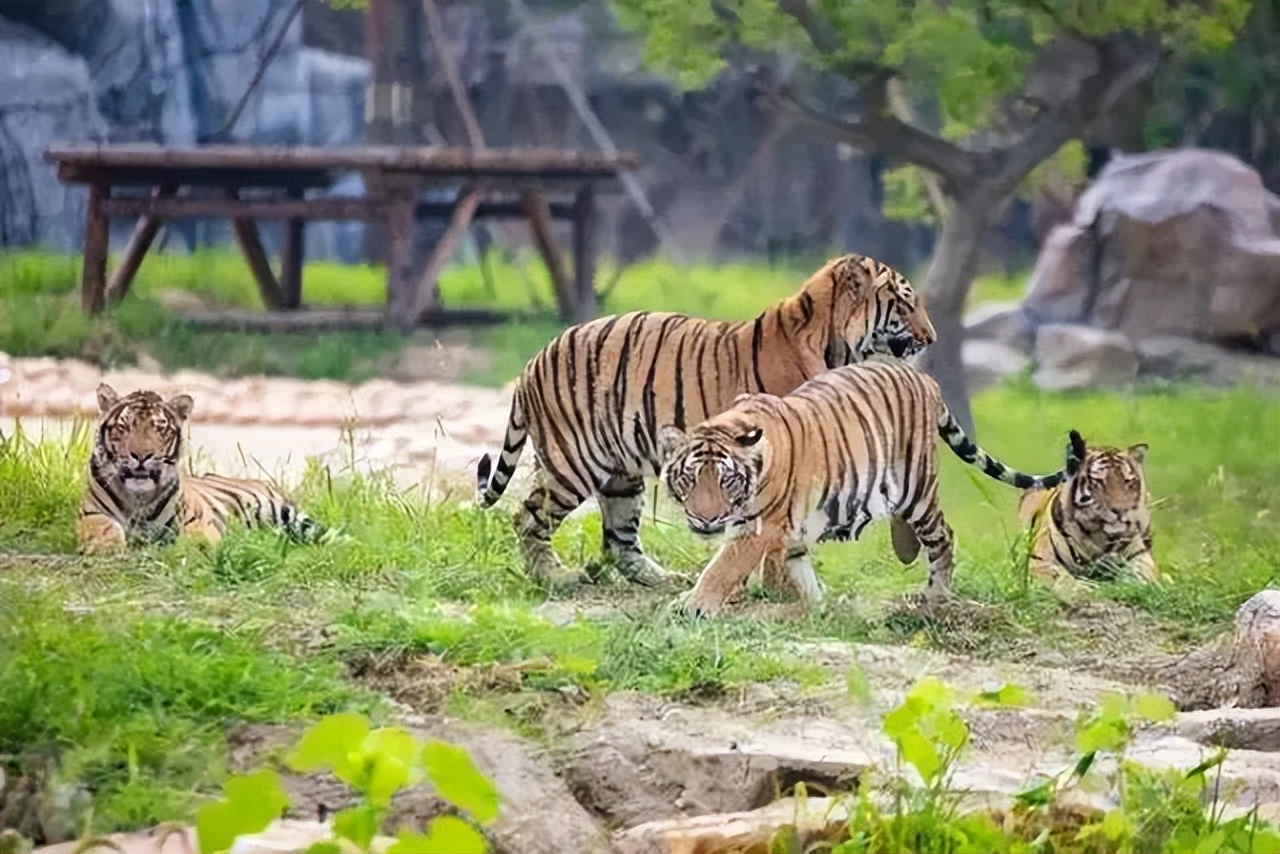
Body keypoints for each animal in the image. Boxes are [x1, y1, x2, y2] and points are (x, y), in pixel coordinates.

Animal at [77, 381, 327, 555]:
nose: (141, 456)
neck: (139, 497)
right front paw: (107, 547)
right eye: (124, 426)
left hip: (287, 514)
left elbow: (196, 537)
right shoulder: (91, 514)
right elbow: (105, 530)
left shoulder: (197, 519)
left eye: (160, 428)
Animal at [476, 250, 936, 591]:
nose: (931, 338)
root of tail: (532, 362)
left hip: (621, 474)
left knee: (620, 540)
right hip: (575, 462)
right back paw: (556, 577)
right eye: (906, 302)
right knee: (528, 517)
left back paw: (664, 580)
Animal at [655, 358, 1075, 617]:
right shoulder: (788, 531)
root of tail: (926, 379)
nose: (705, 519)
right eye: (689, 478)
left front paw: (692, 606)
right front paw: (818, 607)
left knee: (943, 537)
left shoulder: (757, 529)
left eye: (725, 479)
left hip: (916, 489)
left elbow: (721, 568)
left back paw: (935, 597)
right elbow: (798, 569)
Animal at [1018, 435, 1162, 588]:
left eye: (1128, 481)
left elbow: (1140, 576)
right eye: (1098, 480)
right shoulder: (1041, 561)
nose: (1120, 510)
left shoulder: (1141, 556)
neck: (1100, 537)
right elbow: (1065, 579)